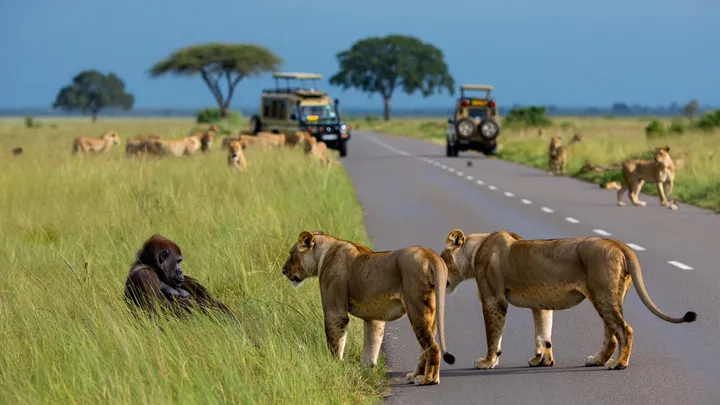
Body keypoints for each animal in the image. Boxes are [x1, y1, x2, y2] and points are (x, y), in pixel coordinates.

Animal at [281, 231, 455, 386]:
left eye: (291, 254)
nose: (283, 271)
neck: (325, 252)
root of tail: (429, 253)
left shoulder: (335, 310)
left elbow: (335, 342)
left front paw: (334, 367)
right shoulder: (374, 317)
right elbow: (371, 347)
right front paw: (365, 373)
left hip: (416, 308)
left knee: (433, 347)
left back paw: (428, 379)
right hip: (431, 312)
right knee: (425, 348)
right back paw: (415, 376)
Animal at [440, 229, 697, 371]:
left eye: (442, 258)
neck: (476, 250)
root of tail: (616, 243)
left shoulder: (494, 299)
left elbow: (493, 335)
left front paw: (487, 362)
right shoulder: (540, 304)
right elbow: (543, 334)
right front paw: (541, 360)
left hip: (602, 294)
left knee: (625, 330)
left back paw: (618, 364)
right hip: (608, 296)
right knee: (612, 334)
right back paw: (597, 360)